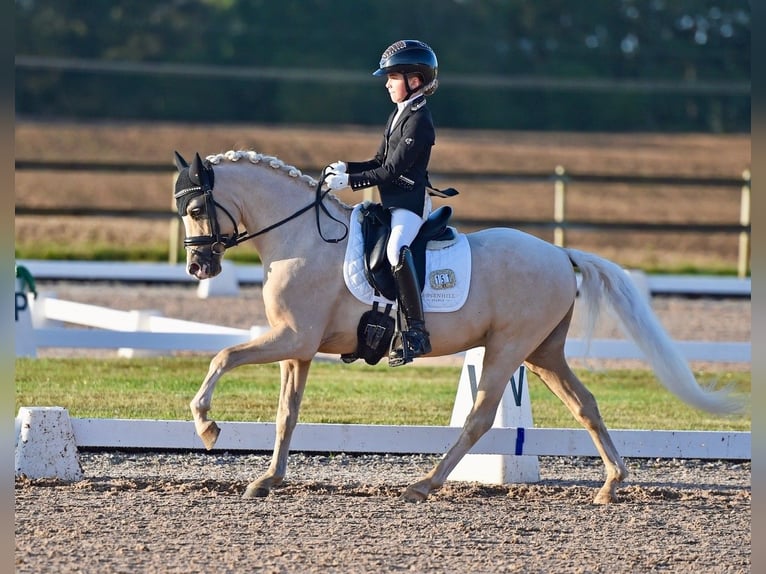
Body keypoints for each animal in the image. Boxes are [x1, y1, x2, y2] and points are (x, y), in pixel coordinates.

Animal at [173, 149, 740, 504]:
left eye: (197, 207)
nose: (199, 268)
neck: (302, 239)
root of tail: (560, 253)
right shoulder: (299, 348)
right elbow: (286, 415)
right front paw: (268, 479)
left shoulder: (292, 338)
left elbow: (222, 356)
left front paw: (206, 426)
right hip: (542, 352)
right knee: (585, 404)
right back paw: (611, 484)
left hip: (508, 348)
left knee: (481, 416)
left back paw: (423, 485)